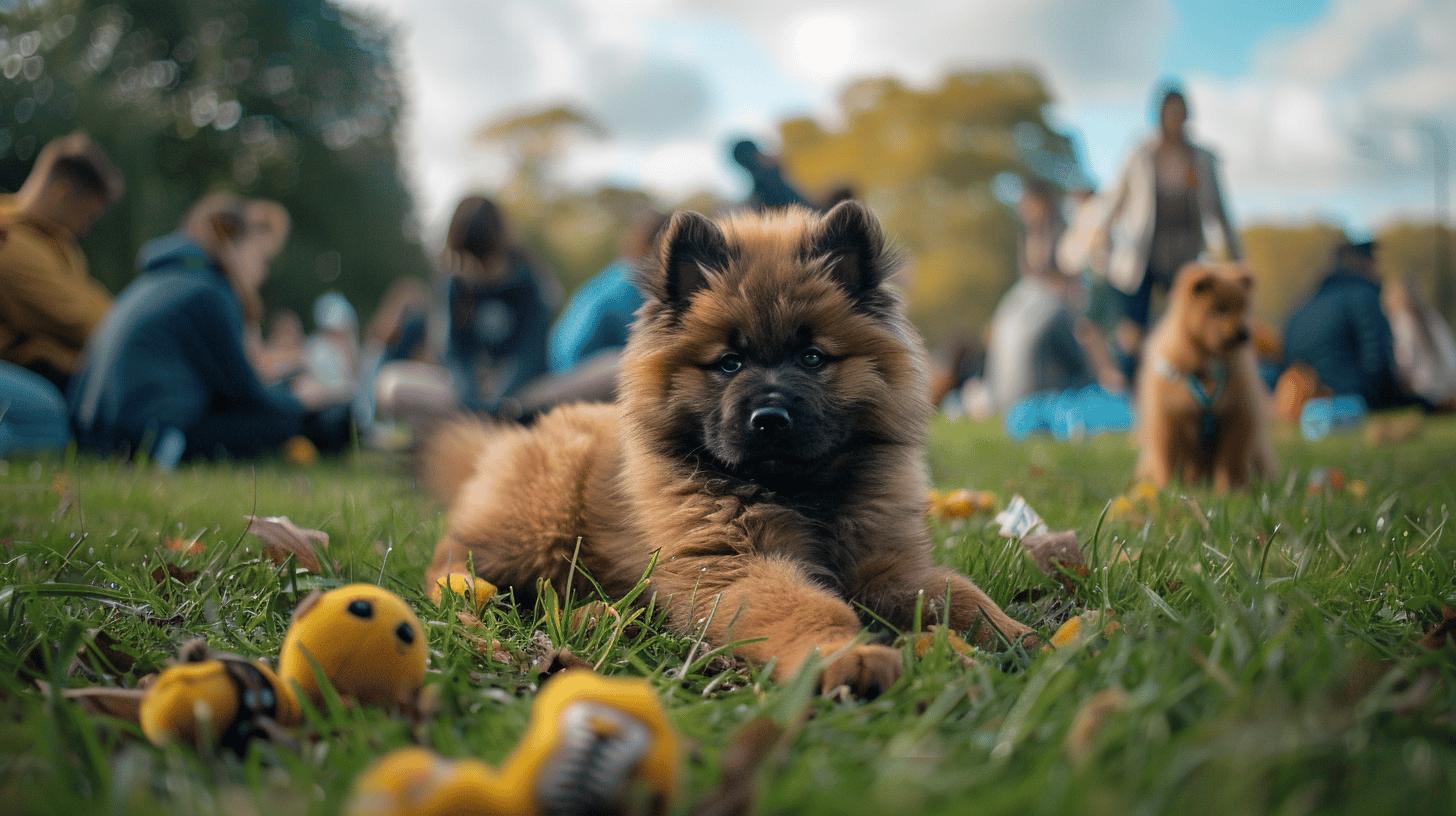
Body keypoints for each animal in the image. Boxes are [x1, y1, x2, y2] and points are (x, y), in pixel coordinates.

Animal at [425, 202, 1036, 693]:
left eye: (812, 357)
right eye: (729, 363)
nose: (769, 419)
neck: (799, 493)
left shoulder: (884, 563)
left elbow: (958, 593)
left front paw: (1019, 635)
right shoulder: (736, 565)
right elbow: (808, 607)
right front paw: (848, 657)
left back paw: (606, 615)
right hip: (538, 528)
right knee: (456, 560)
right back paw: (476, 595)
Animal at [1135, 260, 1275, 489]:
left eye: (1243, 309)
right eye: (1220, 309)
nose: (1244, 334)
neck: (1206, 368)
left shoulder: (1237, 416)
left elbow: (1228, 462)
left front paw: (1229, 490)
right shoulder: (1167, 420)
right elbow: (1166, 460)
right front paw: (1166, 488)